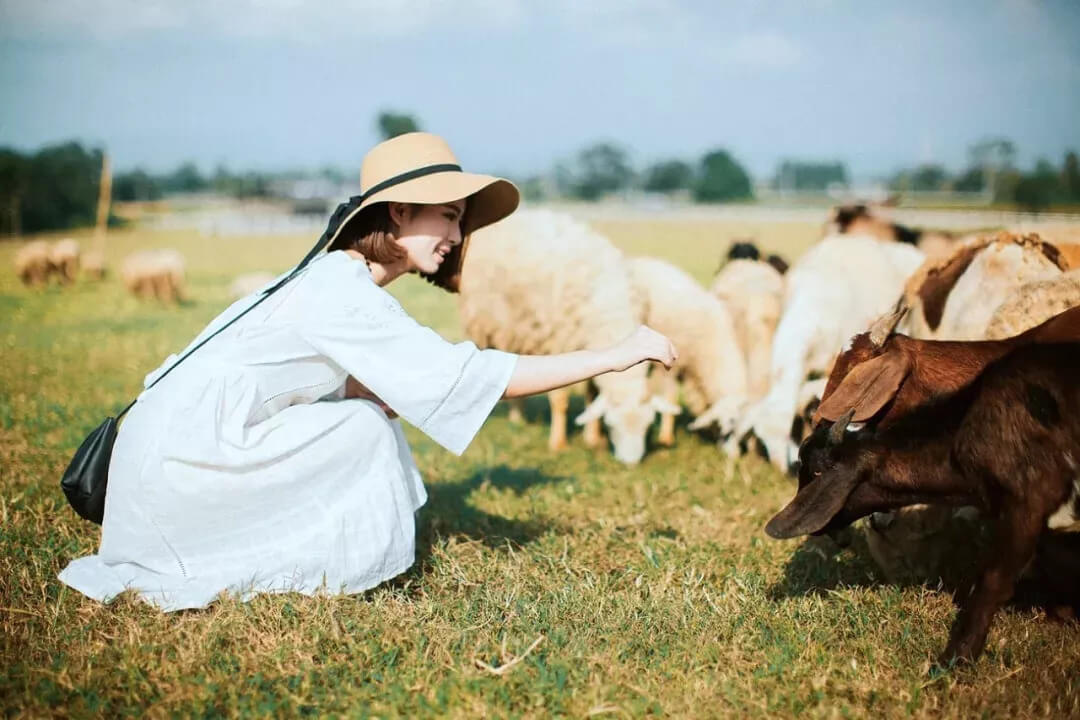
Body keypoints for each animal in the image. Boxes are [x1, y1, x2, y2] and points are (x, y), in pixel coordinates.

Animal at [460, 211, 678, 464]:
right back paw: (513, 418)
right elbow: (560, 400)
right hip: (488, 324)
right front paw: (558, 443)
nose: (631, 463)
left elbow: (592, 394)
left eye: (648, 424)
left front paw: (593, 438)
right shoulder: (557, 343)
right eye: (612, 425)